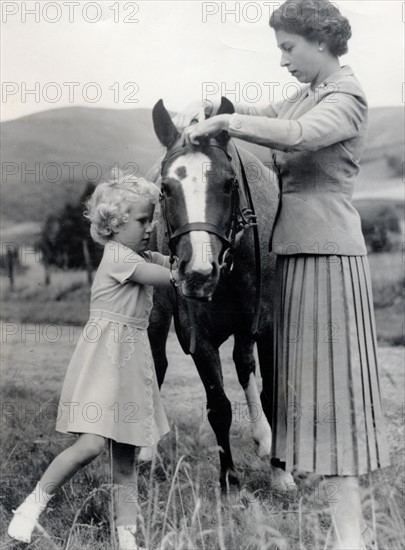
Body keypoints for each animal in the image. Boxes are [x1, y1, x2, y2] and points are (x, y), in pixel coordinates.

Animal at [147, 97, 280, 494]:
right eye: (165, 189)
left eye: (229, 183)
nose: (198, 274)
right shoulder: (198, 336)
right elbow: (218, 407)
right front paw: (229, 480)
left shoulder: (266, 325)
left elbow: (269, 393)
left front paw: (282, 474)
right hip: (156, 314)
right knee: (156, 365)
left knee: (243, 363)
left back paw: (264, 438)